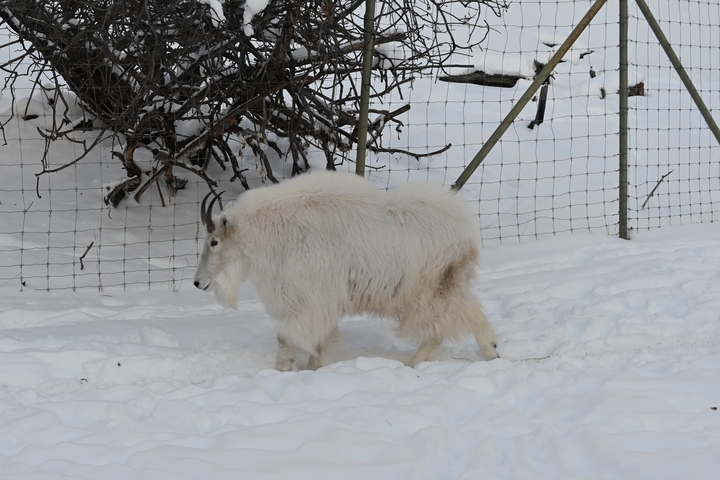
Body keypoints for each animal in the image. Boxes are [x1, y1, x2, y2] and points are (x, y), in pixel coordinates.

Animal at [193, 171, 499, 370]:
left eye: (213, 241)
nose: (198, 283)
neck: (275, 232)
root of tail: (468, 233)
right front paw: (312, 367)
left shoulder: (312, 301)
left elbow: (286, 335)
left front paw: (285, 367)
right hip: (450, 287)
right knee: (473, 316)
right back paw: (492, 354)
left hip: (429, 291)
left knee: (436, 328)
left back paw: (413, 364)